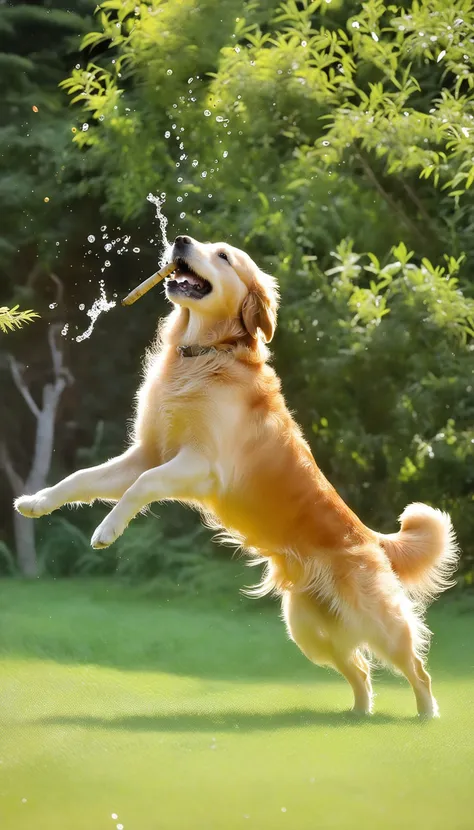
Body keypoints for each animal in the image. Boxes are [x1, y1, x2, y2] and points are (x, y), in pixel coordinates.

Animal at [15, 237, 460, 720]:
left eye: (224, 256)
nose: (181, 240)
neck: (204, 354)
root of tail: (369, 537)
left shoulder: (200, 465)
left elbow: (143, 485)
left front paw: (106, 530)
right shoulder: (146, 454)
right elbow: (81, 479)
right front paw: (36, 502)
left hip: (376, 621)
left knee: (416, 666)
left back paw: (427, 715)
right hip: (308, 630)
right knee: (359, 669)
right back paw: (358, 715)